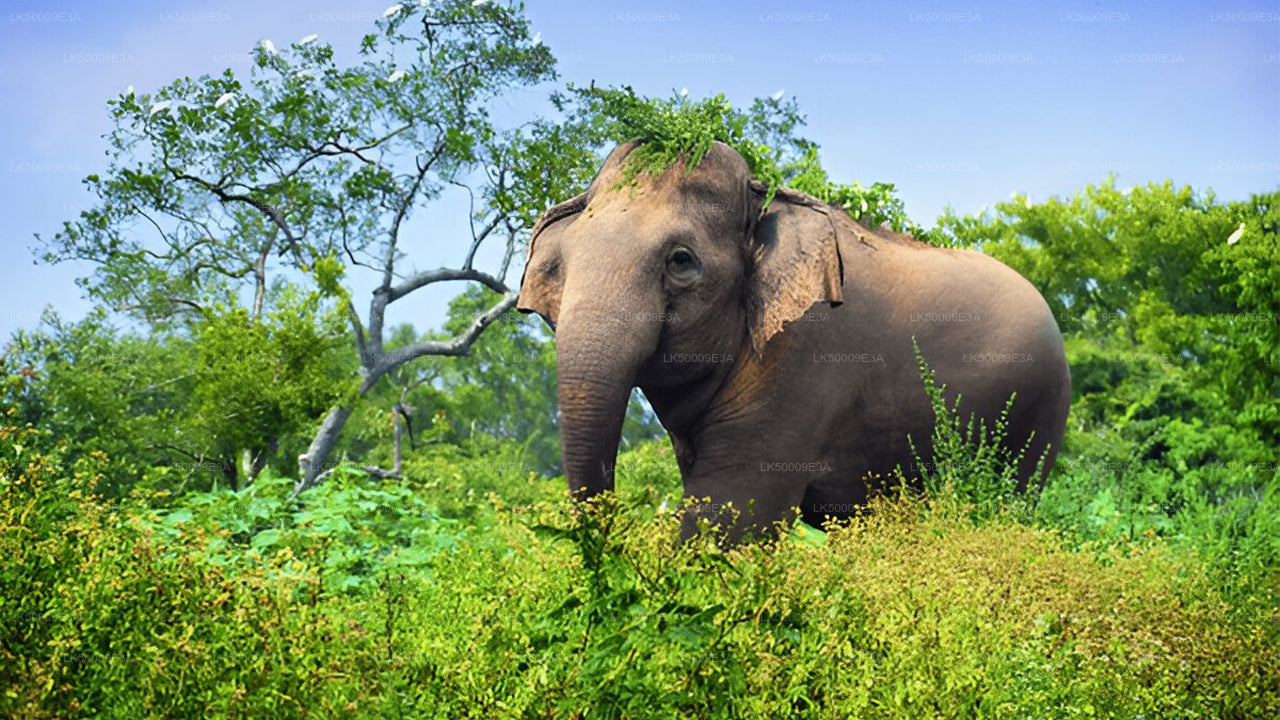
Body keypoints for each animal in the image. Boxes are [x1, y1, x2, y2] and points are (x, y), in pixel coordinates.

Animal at [517, 140, 1071, 540]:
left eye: (681, 261)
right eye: (560, 266)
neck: (765, 199)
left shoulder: (800, 361)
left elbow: (732, 521)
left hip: (1041, 409)